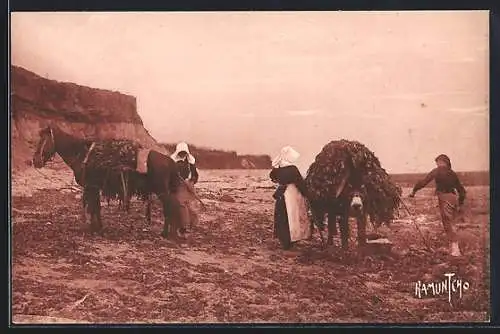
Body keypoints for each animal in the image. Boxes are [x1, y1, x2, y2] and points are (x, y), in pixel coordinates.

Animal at [31, 124, 181, 237]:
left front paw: (93, 229)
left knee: (170, 207)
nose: (35, 161)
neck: (81, 154)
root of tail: (170, 161)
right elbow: (96, 208)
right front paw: (98, 228)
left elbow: (93, 208)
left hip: (162, 191)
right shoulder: (94, 187)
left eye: (43, 140)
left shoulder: (91, 186)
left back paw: (166, 233)